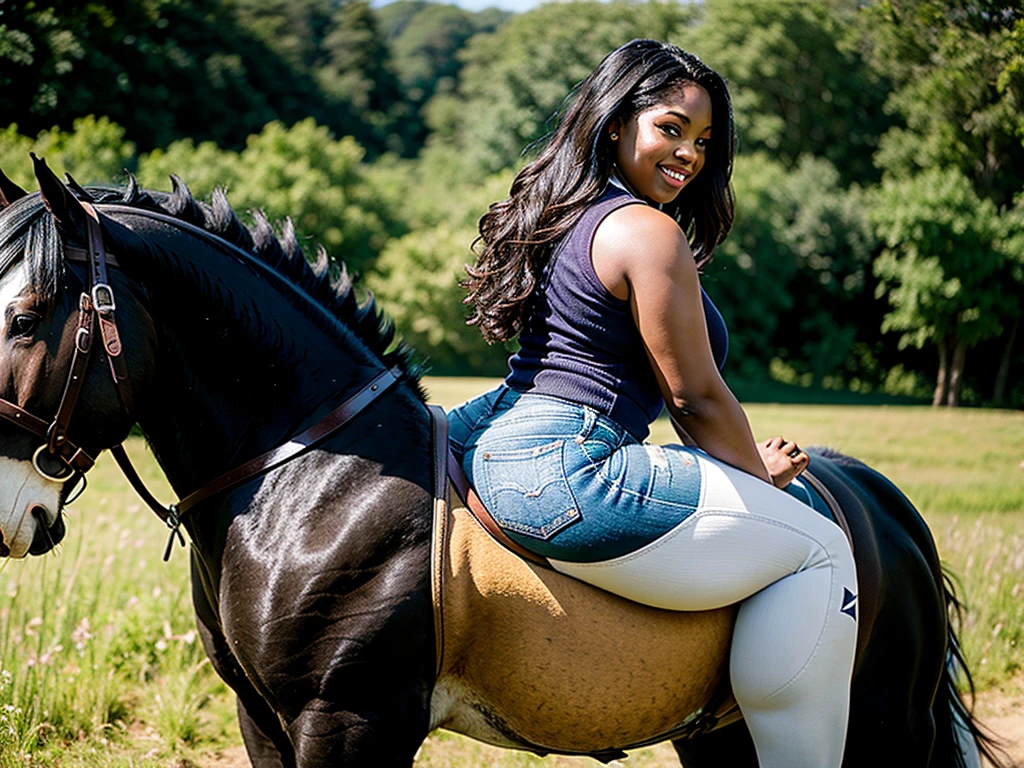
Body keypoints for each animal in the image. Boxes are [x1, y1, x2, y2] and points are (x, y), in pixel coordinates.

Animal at [0, 162, 1003, 768]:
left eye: (26, 317)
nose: (13, 513)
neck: (314, 483)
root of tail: (869, 496)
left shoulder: (349, 718)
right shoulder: (264, 718)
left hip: (879, 716)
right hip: (723, 732)